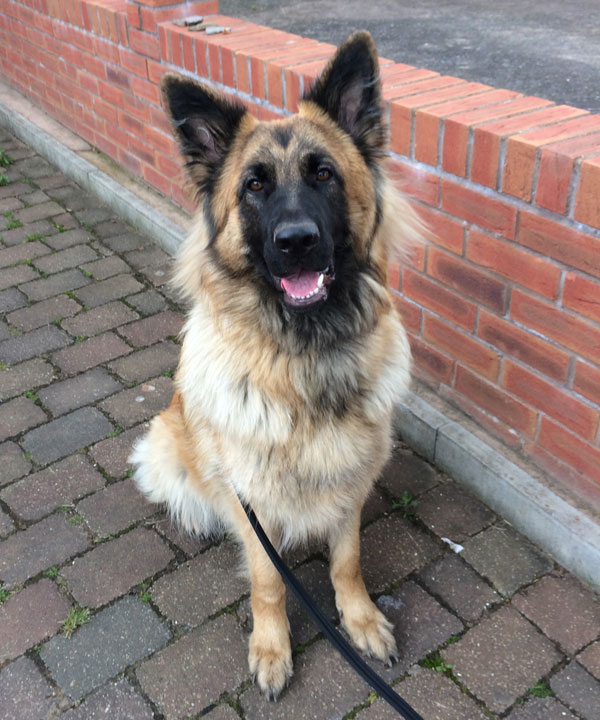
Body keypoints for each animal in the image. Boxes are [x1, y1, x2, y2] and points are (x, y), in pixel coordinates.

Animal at [134, 31, 420, 700]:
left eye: (324, 174)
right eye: (255, 186)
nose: (296, 242)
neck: (306, 357)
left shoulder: (351, 484)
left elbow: (348, 561)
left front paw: (359, 620)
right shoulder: (252, 502)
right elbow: (267, 582)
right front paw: (271, 648)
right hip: (164, 446)